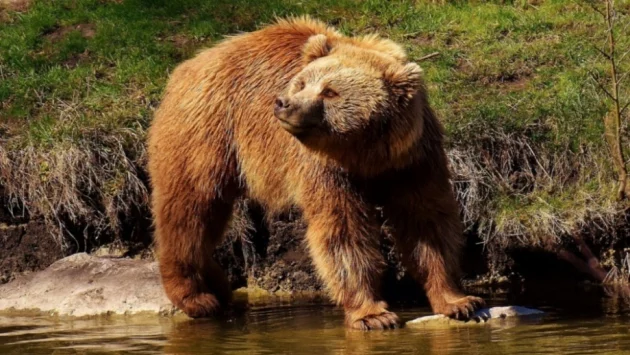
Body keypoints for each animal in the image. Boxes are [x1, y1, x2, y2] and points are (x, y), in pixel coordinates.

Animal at [147, 16, 484, 330]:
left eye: (330, 92)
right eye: (301, 83)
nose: (283, 103)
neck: (366, 153)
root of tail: (187, 66)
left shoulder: (412, 159)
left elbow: (426, 223)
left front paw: (459, 301)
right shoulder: (326, 168)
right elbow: (342, 231)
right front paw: (372, 314)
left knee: (208, 218)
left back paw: (217, 285)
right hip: (208, 133)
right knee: (190, 210)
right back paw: (195, 296)